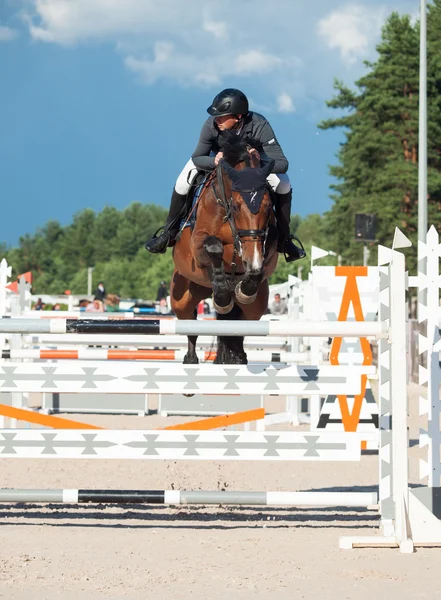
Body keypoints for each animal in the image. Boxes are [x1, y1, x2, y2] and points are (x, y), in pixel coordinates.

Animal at [169, 134, 276, 364]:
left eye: (267, 206)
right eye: (236, 205)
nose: (251, 259)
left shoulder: (268, 246)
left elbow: (259, 265)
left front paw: (243, 287)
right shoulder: (198, 242)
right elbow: (214, 247)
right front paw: (222, 296)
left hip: (257, 307)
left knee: (240, 327)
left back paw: (238, 356)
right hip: (182, 294)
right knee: (190, 323)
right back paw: (191, 358)